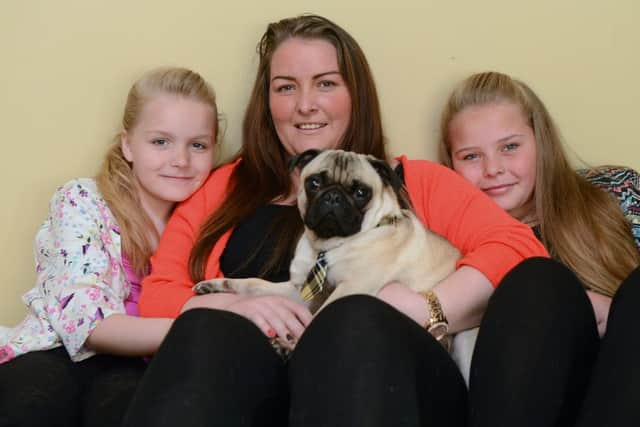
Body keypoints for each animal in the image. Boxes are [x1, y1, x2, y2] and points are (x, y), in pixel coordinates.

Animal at [192, 150, 478, 384]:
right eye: (314, 182)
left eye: (361, 192)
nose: (333, 196)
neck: (329, 247)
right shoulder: (300, 290)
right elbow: (254, 285)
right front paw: (218, 285)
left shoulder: (349, 288)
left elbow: (316, 319)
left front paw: (288, 345)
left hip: (464, 341)